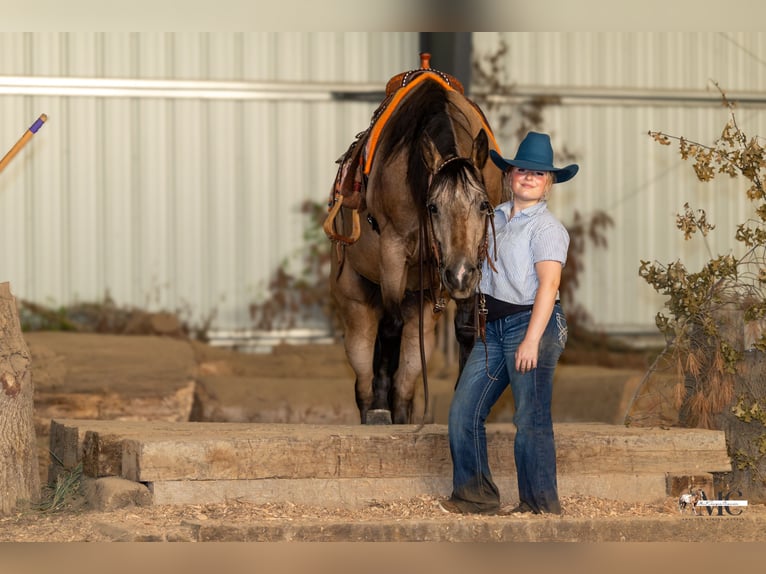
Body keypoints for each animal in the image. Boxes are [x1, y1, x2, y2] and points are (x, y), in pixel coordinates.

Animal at [325, 58, 504, 424]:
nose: (458, 275)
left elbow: (466, 328)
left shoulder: (477, 260)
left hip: (421, 318)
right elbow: (389, 329)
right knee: (365, 371)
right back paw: (375, 409)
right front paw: (380, 409)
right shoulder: (393, 250)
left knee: (405, 385)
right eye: (432, 206)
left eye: (483, 205)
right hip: (355, 307)